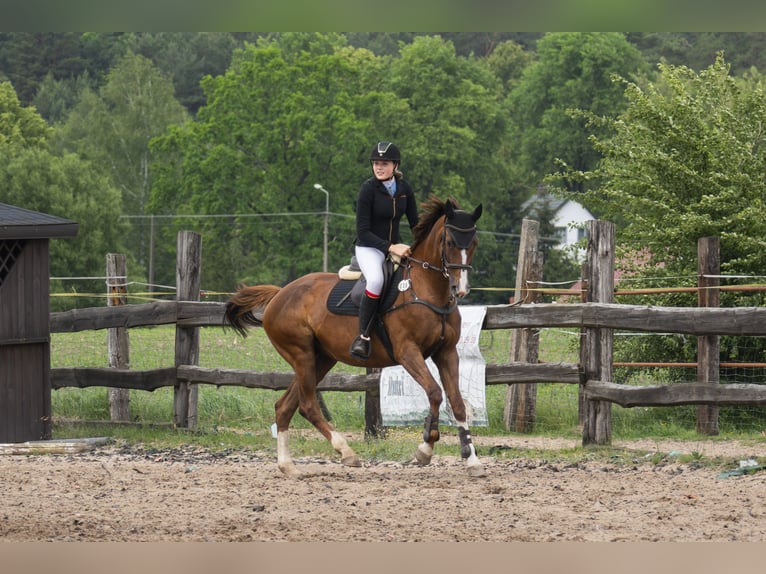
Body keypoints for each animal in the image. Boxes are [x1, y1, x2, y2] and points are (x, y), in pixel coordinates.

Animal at [224, 196, 486, 480]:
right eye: (450, 243)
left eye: (474, 243)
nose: (460, 289)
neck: (427, 290)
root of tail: (279, 294)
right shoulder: (407, 352)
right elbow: (435, 393)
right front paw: (425, 450)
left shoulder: (446, 352)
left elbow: (457, 403)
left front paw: (471, 459)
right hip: (301, 354)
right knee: (307, 405)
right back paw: (346, 452)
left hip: (321, 359)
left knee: (284, 407)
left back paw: (288, 466)